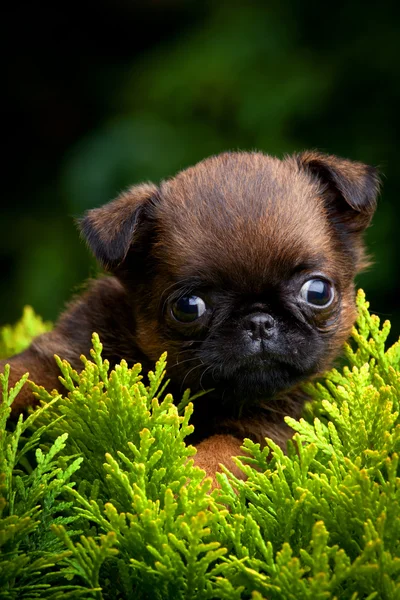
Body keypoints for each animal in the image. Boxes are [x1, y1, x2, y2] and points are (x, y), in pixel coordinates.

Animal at [0, 152, 380, 480]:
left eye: (317, 293)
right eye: (189, 306)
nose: (259, 321)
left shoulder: (260, 432)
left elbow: (218, 456)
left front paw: (189, 483)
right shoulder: (68, 349)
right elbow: (20, 373)